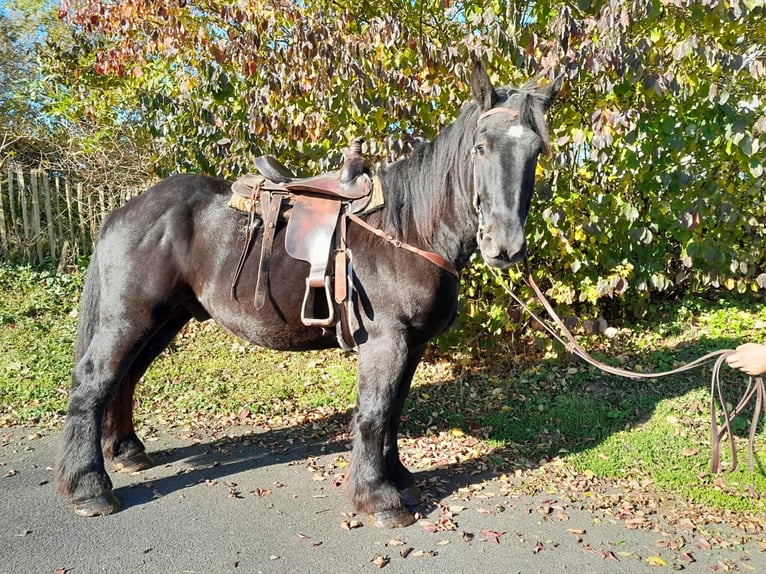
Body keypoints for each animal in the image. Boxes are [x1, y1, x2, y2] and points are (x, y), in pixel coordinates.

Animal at [52, 62, 560, 528]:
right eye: (480, 146)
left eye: (535, 151)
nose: (505, 246)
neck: (409, 230)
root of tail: (126, 210)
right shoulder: (387, 341)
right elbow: (375, 413)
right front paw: (378, 498)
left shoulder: (411, 345)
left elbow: (394, 412)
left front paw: (398, 478)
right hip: (129, 318)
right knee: (94, 382)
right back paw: (89, 488)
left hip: (163, 319)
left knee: (125, 378)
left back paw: (126, 451)